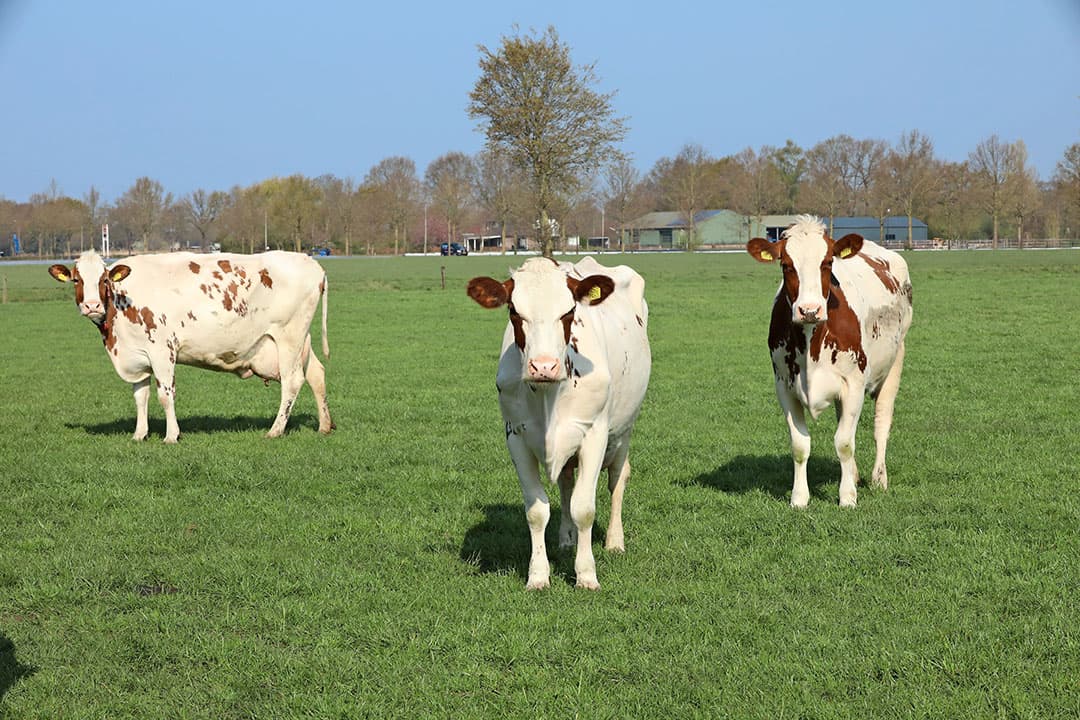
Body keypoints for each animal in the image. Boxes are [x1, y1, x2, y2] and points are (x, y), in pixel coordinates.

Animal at [49, 249, 333, 443]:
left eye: (104, 280)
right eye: (76, 280)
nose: (92, 306)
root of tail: (312, 263)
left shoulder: (162, 350)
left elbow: (165, 395)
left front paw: (171, 436)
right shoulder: (136, 354)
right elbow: (140, 396)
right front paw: (139, 434)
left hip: (289, 337)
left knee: (292, 382)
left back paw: (275, 430)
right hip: (301, 341)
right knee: (316, 374)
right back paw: (324, 426)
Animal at [467, 257, 651, 590]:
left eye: (568, 312)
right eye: (514, 311)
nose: (543, 366)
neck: (547, 396)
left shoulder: (595, 435)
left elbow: (584, 508)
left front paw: (586, 575)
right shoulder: (515, 436)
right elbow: (537, 510)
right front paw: (538, 575)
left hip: (624, 431)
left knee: (618, 478)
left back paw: (614, 541)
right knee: (566, 483)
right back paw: (566, 539)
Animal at [746, 215, 912, 508]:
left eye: (827, 263)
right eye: (786, 265)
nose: (809, 310)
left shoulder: (854, 384)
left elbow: (844, 443)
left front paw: (847, 498)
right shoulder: (784, 386)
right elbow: (800, 445)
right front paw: (799, 498)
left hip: (895, 360)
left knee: (882, 423)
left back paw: (879, 478)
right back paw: (854, 475)